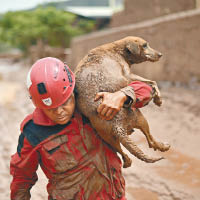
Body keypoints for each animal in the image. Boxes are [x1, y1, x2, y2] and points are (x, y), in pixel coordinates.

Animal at [74, 36, 170, 167]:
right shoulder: (128, 76)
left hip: (108, 137)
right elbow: (152, 81)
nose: (160, 54)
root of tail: (117, 126)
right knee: (151, 141)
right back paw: (163, 146)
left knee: (125, 155)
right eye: (145, 45)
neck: (118, 50)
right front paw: (158, 99)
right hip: (139, 117)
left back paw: (126, 161)